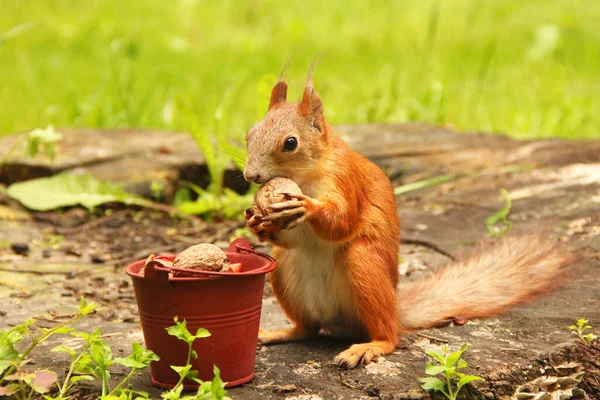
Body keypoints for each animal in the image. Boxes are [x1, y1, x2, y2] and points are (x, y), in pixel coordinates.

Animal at [243, 65, 576, 368]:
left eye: (290, 143)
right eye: (249, 134)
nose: (250, 176)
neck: (307, 174)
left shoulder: (346, 181)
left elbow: (341, 221)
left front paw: (306, 207)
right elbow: (290, 236)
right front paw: (256, 222)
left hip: (364, 266)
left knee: (389, 335)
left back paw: (370, 346)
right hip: (284, 271)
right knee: (308, 328)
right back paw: (280, 333)